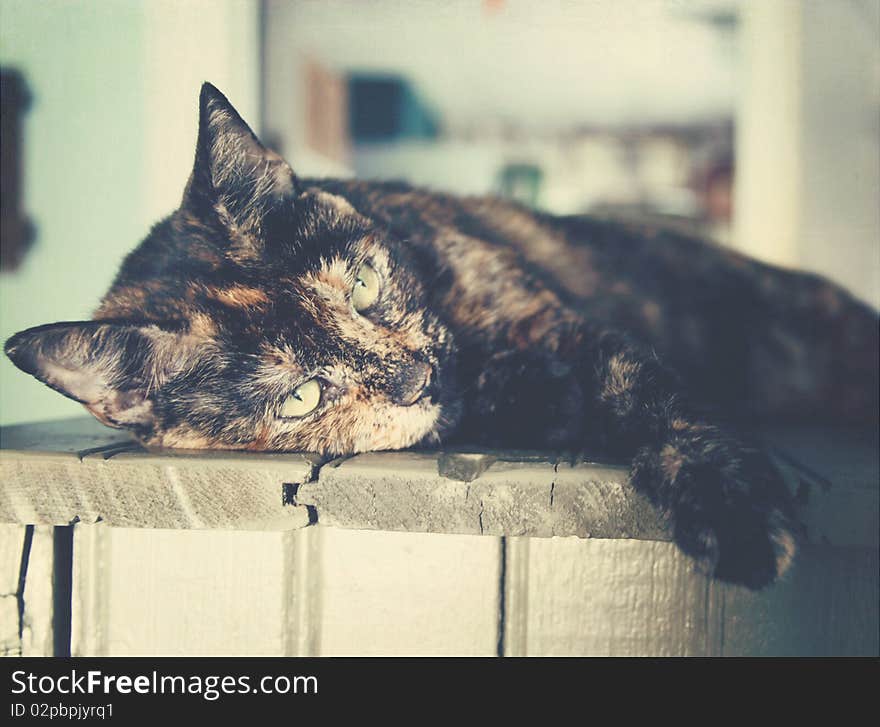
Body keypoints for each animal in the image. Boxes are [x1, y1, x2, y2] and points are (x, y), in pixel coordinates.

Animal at [5, 82, 872, 588]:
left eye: (363, 285)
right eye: (300, 396)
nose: (416, 378)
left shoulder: (569, 330)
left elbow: (656, 402)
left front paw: (730, 502)